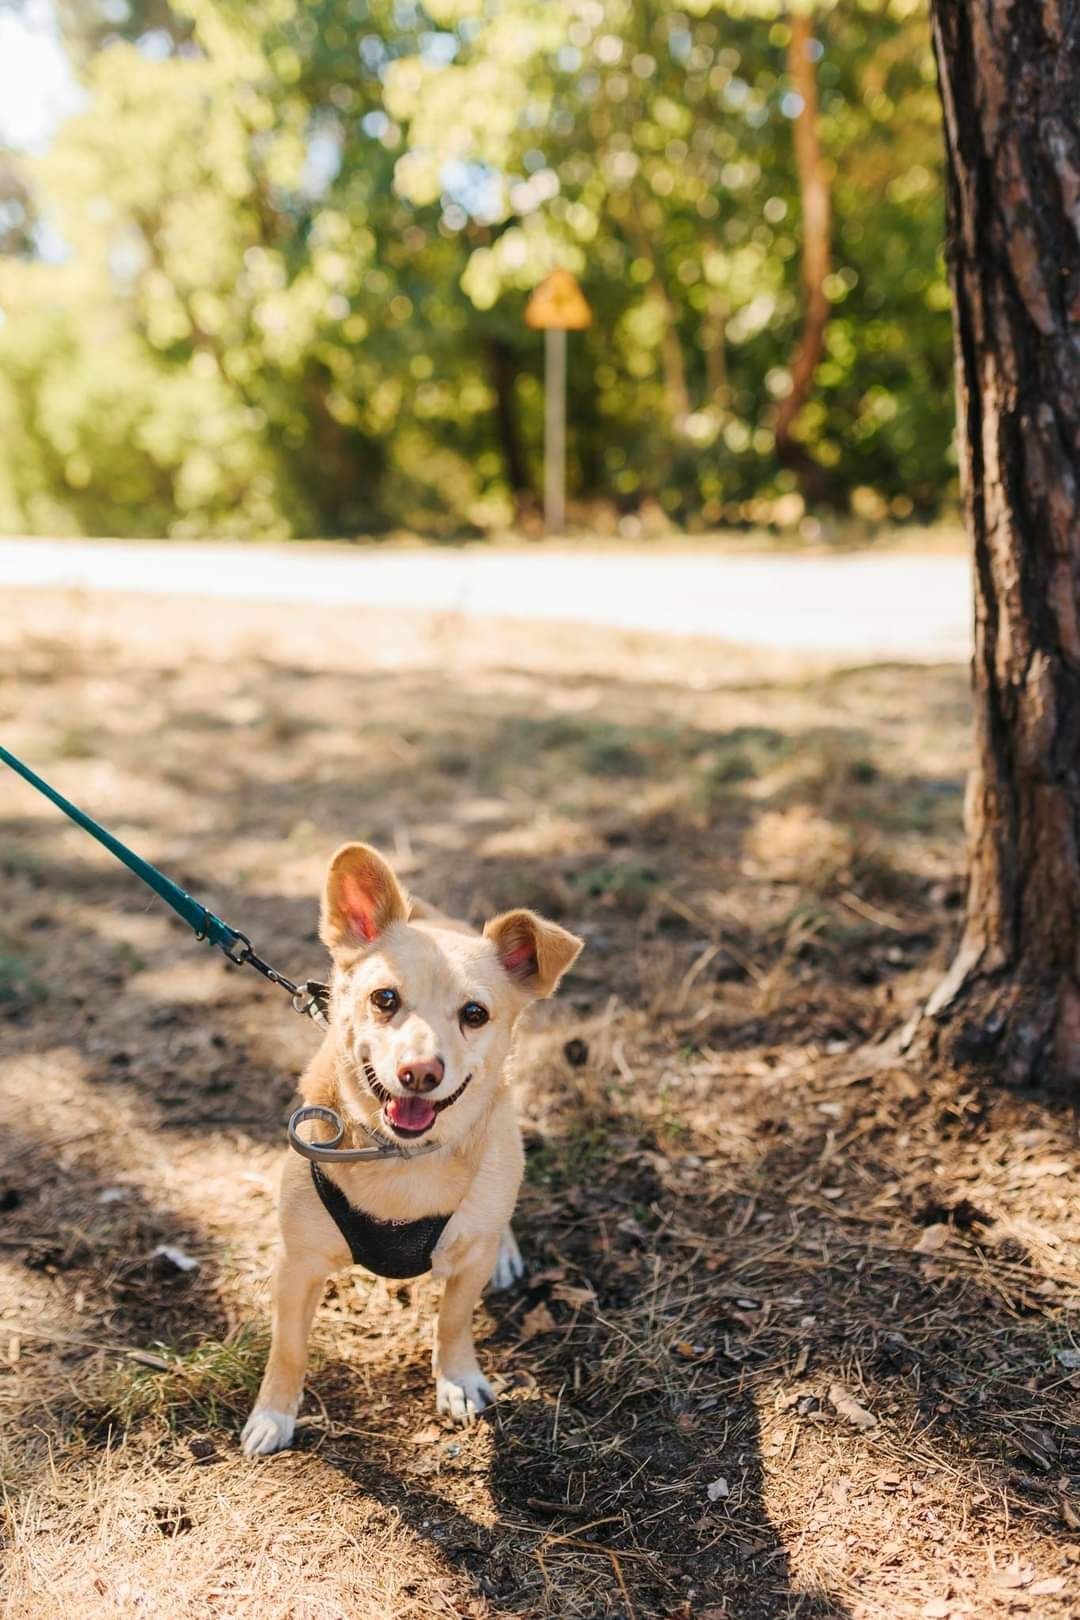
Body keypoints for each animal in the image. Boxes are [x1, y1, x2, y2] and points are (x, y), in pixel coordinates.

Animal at [244, 835, 582, 1458]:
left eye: (474, 1014)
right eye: (384, 998)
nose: (420, 1073)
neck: (401, 1158)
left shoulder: (467, 1265)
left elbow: (453, 1321)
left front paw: (458, 1380)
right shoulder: (297, 1267)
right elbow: (289, 1349)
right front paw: (273, 1415)